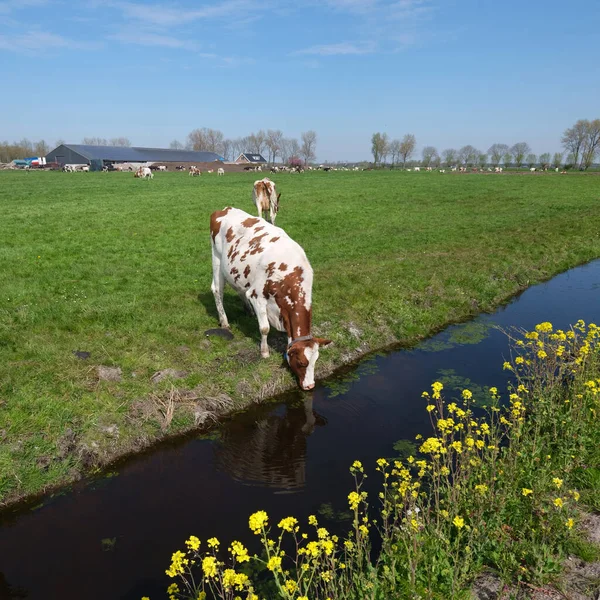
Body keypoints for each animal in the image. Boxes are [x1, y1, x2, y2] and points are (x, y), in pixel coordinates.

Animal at [210, 209, 332, 392]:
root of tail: (225, 209)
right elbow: (265, 328)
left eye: (315, 361)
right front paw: (265, 352)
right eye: (301, 362)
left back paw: (248, 311)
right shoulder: (256, 295)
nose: (310, 385)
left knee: (239, 288)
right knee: (217, 290)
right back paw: (224, 321)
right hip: (216, 259)